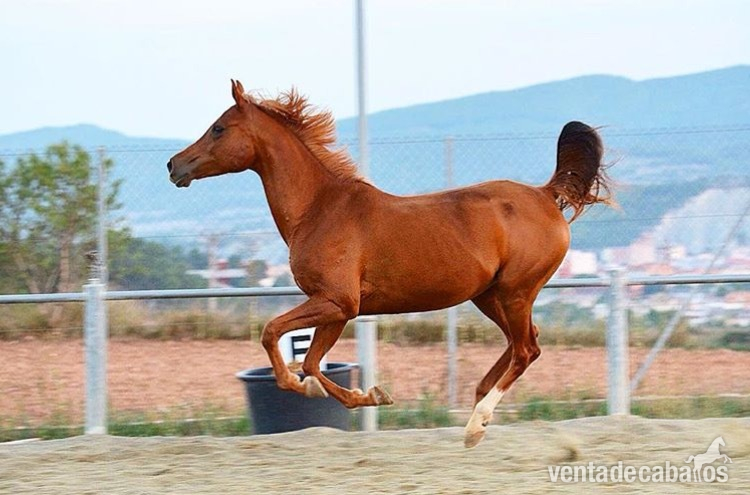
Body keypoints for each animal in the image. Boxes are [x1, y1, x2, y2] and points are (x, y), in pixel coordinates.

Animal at [167, 80, 611, 448]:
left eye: (218, 128)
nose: (174, 165)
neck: (320, 209)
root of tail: (545, 194)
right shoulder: (336, 308)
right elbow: (310, 361)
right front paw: (367, 394)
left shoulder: (337, 302)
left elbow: (273, 334)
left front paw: (329, 390)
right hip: (489, 296)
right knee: (521, 344)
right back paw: (477, 405)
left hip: (515, 292)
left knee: (525, 349)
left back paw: (475, 425)